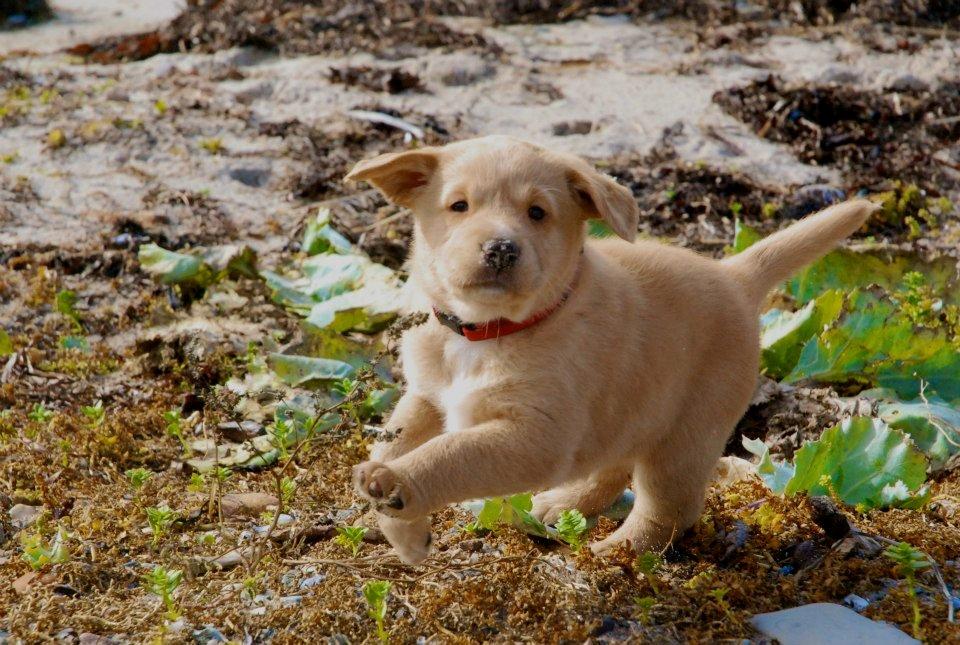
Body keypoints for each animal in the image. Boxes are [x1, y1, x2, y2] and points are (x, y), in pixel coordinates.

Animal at [344, 136, 876, 564]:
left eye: (537, 213)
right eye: (459, 206)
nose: (500, 248)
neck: (482, 333)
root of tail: (733, 275)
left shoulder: (536, 436)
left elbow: (450, 453)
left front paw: (397, 485)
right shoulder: (427, 398)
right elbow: (394, 440)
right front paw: (405, 532)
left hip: (686, 436)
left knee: (668, 510)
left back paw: (613, 554)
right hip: (631, 407)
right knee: (614, 465)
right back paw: (559, 505)